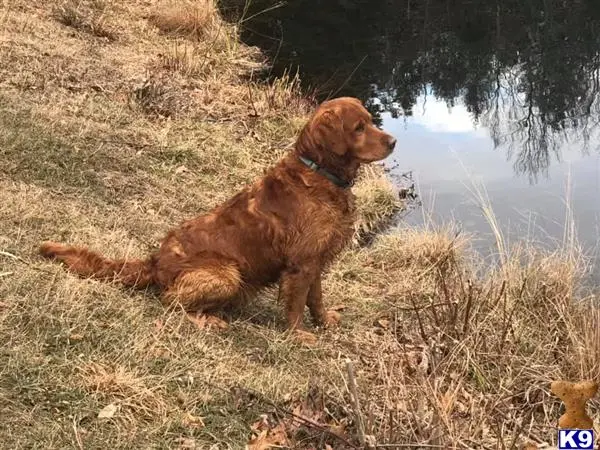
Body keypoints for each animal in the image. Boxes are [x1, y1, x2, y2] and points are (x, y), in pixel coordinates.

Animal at [41, 97, 398, 342]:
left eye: (370, 121)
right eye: (358, 128)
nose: (393, 141)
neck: (320, 172)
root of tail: (156, 261)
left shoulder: (318, 260)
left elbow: (316, 298)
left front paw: (324, 322)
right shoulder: (302, 263)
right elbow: (297, 304)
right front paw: (298, 335)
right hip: (227, 274)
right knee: (170, 301)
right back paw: (209, 320)